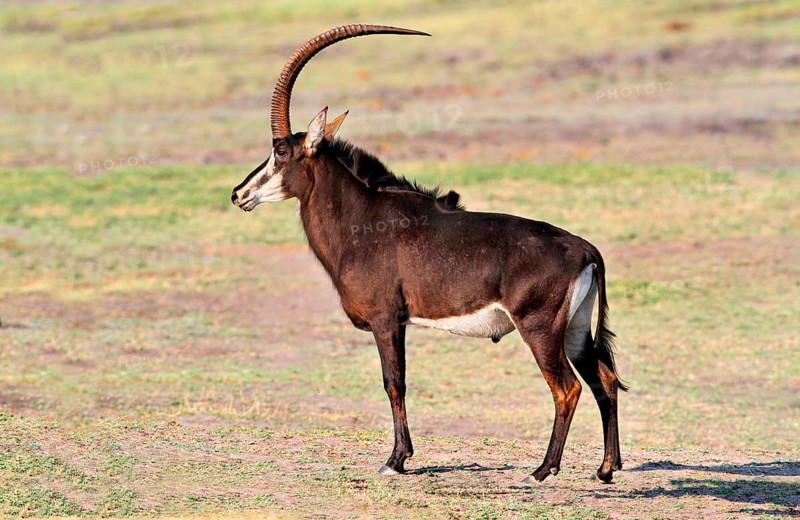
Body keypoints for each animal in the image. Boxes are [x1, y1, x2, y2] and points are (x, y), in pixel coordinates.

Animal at [231, 24, 628, 483]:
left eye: (280, 152)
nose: (238, 194)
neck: (362, 218)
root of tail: (585, 249)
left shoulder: (387, 319)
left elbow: (394, 382)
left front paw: (395, 460)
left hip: (541, 329)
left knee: (567, 388)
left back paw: (542, 470)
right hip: (577, 328)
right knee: (605, 379)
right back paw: (605, 469)